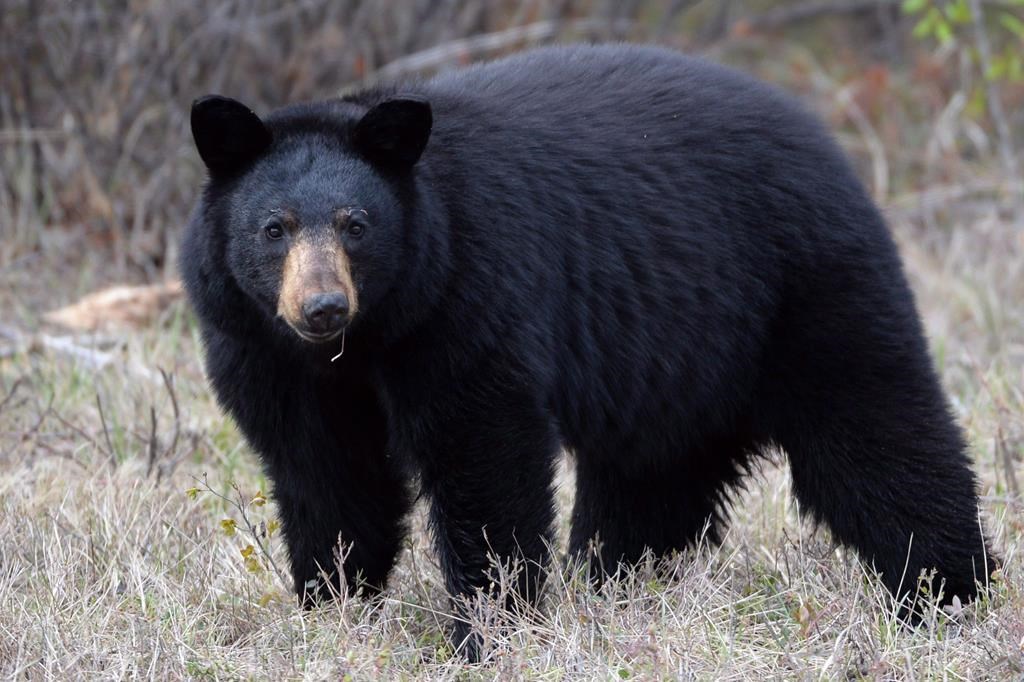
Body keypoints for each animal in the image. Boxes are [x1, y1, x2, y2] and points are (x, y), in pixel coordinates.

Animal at [182, 44, 993, 658]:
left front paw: (489, 628)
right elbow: (329, 476)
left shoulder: (466, 298)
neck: (367, 340)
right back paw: (620, 586)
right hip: (678, 363)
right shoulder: (266, 354)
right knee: (650, 486)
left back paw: (950, 594)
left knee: (877, 435)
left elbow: (483, 453)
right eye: (274, 228)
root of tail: (823, 139)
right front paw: (334, 609)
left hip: (806, 290)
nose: (322, 307)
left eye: (356, 225)